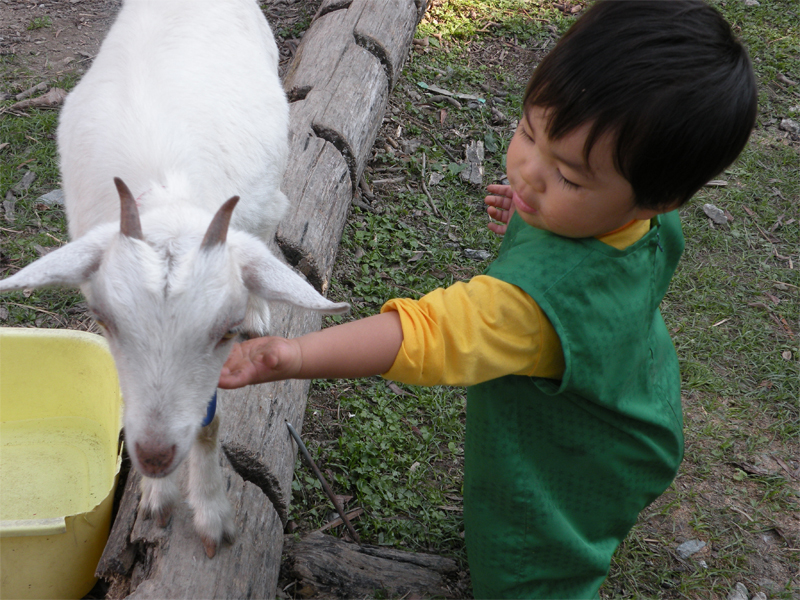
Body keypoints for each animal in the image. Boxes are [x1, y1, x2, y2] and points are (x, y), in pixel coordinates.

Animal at [0, 0, 350, 556]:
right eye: (103, 320)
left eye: (225, 330)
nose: (156, 456)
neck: (167, 196)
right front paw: (157, 497)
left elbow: (210, 425)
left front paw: (211, 515)